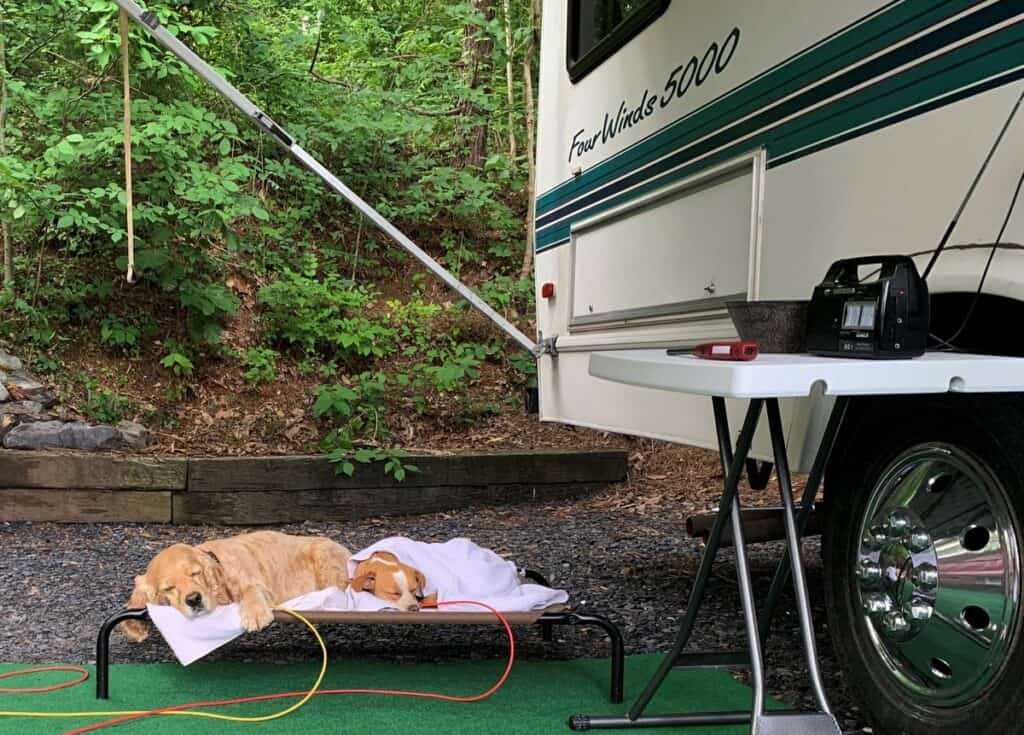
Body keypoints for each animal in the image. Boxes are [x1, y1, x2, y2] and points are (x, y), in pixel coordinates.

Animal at [118, 528, 352, 646]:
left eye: (195, 573)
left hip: (324, 556)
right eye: (168, 588)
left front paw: (255, 615)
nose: (194, 599)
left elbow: (251, 591)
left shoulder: (254, 583)